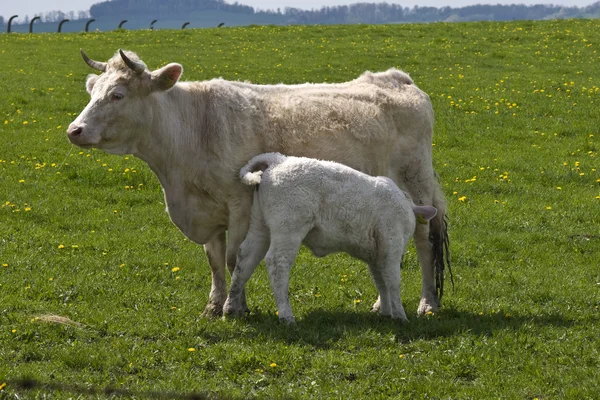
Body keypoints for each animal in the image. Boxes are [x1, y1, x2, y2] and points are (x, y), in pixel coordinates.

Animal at [224, 152, 436, 324]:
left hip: (260, 225)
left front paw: (385, 312)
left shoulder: (375, 253)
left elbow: (380, 281)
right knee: (277, 263)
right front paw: (399, 315)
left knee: (245, 258)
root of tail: (278, 159)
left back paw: (230, 308)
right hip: (288, 228)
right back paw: (286, 316)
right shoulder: (391, 245)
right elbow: (392, 280)